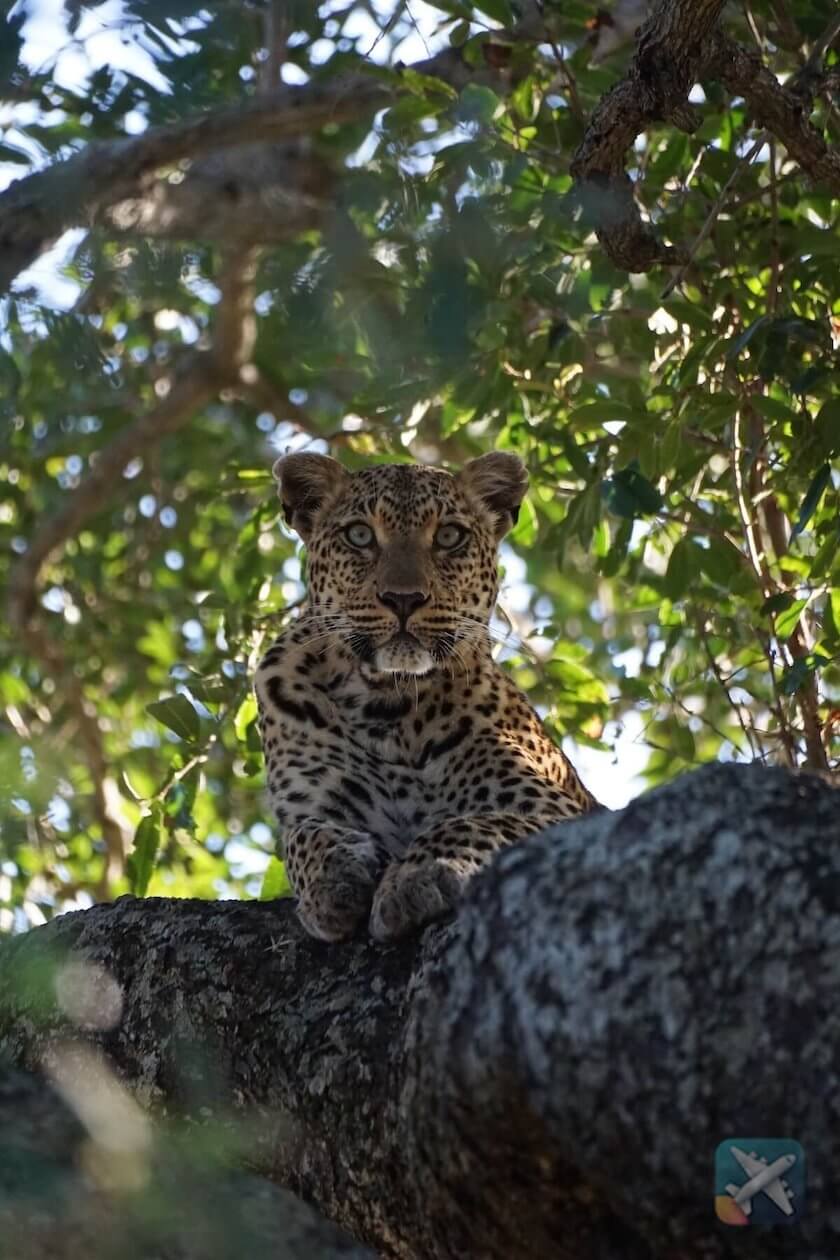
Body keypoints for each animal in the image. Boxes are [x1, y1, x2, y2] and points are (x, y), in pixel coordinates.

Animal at [254, 450, 597, 943]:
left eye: (449, 536)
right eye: (359, 535)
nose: (403, 599)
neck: (386, 702)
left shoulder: (561, 811)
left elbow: (474, 822)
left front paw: (416, 876)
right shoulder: (313, 804)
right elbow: (303, 836)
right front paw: (334, 877)